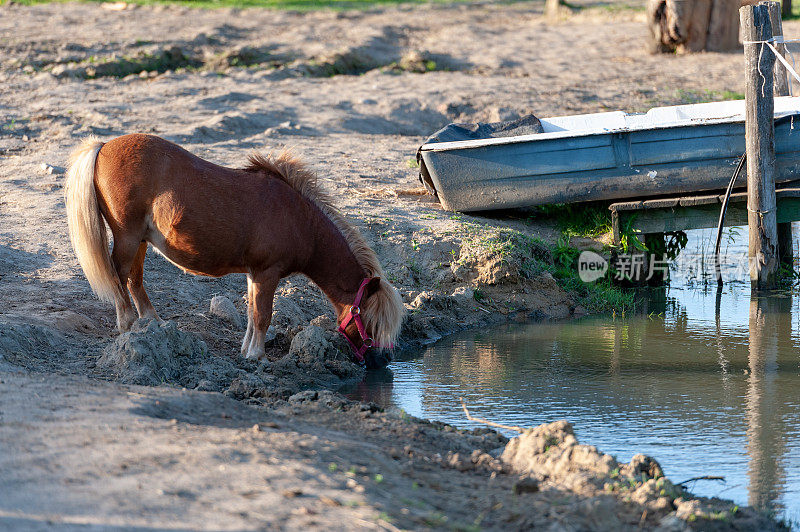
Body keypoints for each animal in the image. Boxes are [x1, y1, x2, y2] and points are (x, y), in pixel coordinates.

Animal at [67, 133, 406, 368]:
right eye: (373, 323)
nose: (381, 362)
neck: (300, 219)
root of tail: (104, 145)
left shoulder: (255, 274)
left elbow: (252, 313)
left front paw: (246, 351)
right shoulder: (267, 273)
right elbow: (263, 315)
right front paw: (258, 356)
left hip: (139, 241)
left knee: (133, 279)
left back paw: (152, 322)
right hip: (128, 236)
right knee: (118, 275)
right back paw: (127, 323)